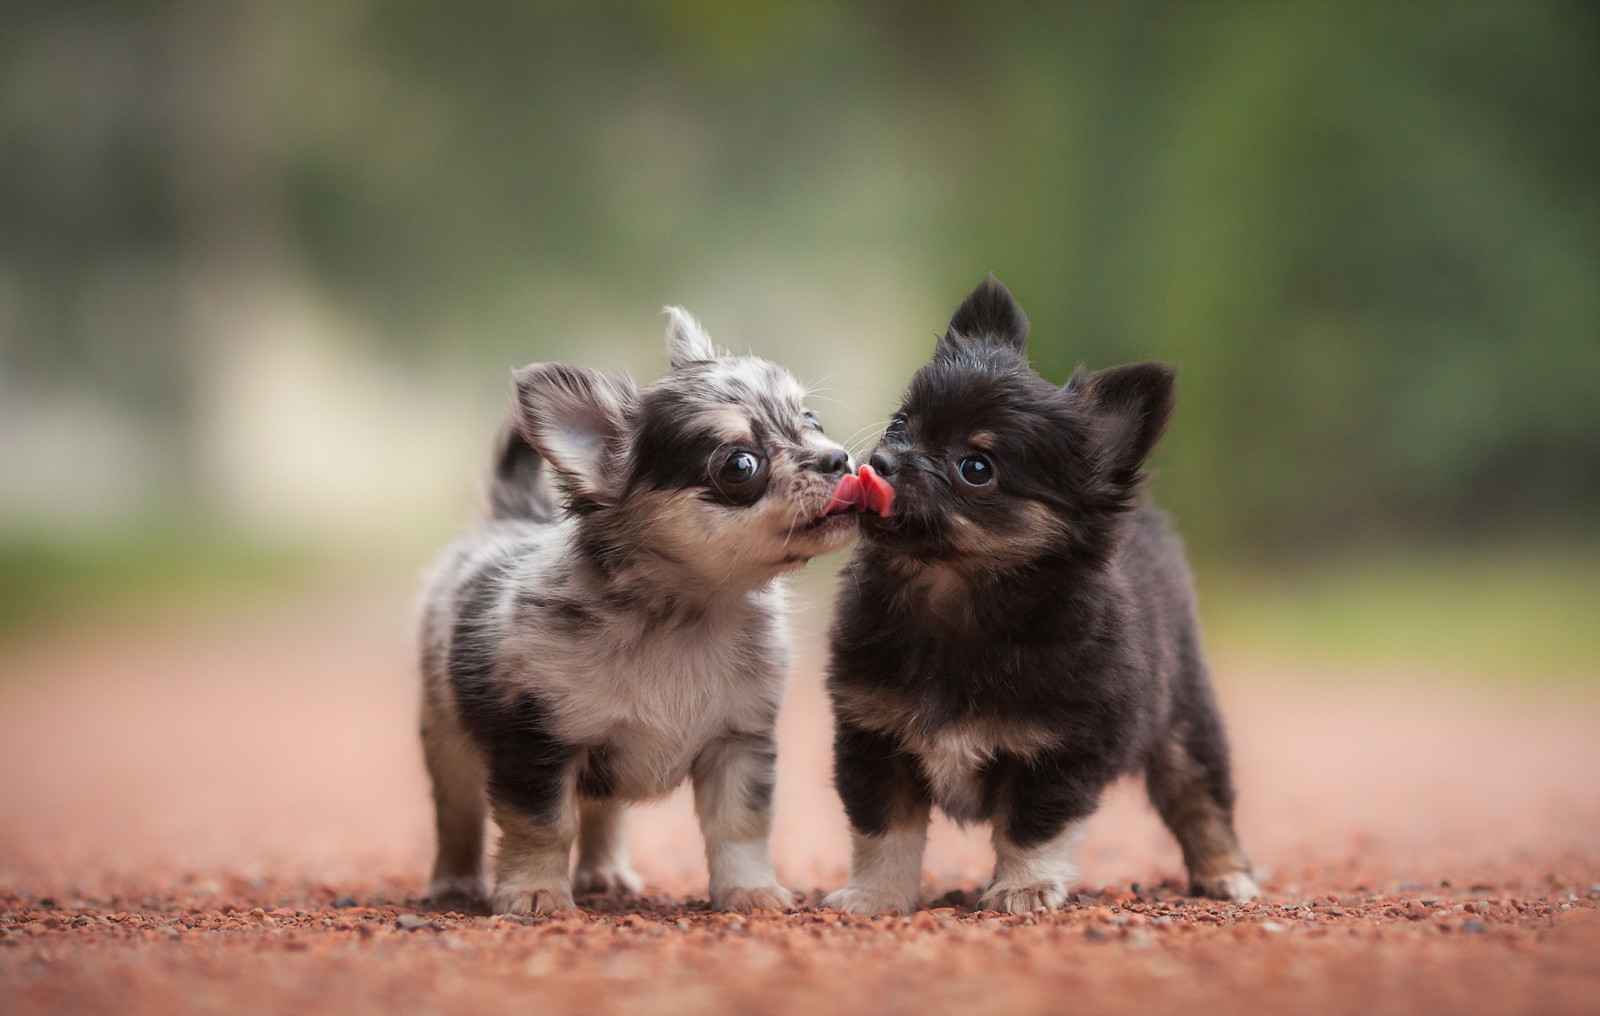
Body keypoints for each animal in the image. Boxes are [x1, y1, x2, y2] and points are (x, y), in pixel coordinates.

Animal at [419, 305, 857, 915]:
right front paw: (534, 891)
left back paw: (604, 874)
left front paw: (749, 889)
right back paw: (455, 882)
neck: (684, 615)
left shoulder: (737, 742)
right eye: (740, 465)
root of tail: (511, 514)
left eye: (811, 419)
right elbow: (542, 826)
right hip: (449, 742)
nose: (839, 458)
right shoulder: (539, 744)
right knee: (456, 817)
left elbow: (740, 825)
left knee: (602, 813)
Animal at [825, 280, 1260, 921]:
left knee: (1201, 800)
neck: (952, 601)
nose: (881, 462)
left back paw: (1227, 874)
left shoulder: (1058, 754)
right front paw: (875, 895)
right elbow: (886, 832)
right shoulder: (875, 741)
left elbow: (1029, 830)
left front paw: (1023, 889)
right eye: (901, 423)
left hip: (1186, 723)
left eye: (975, 468)